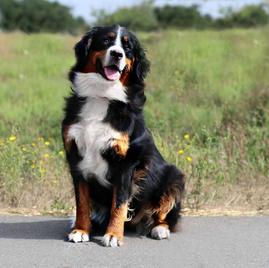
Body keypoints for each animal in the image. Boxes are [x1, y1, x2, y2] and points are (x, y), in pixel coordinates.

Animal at [62, 25, 184, 247]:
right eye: (106, 41)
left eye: (128, 47)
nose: (117, 54)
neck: (102, 96)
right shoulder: (75, 158)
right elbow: (81, 202)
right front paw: (80, 230)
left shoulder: (126, 162)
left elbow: (119, 203)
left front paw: (113, 235)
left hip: (174, 176)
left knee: (165, 215)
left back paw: (160, 229)